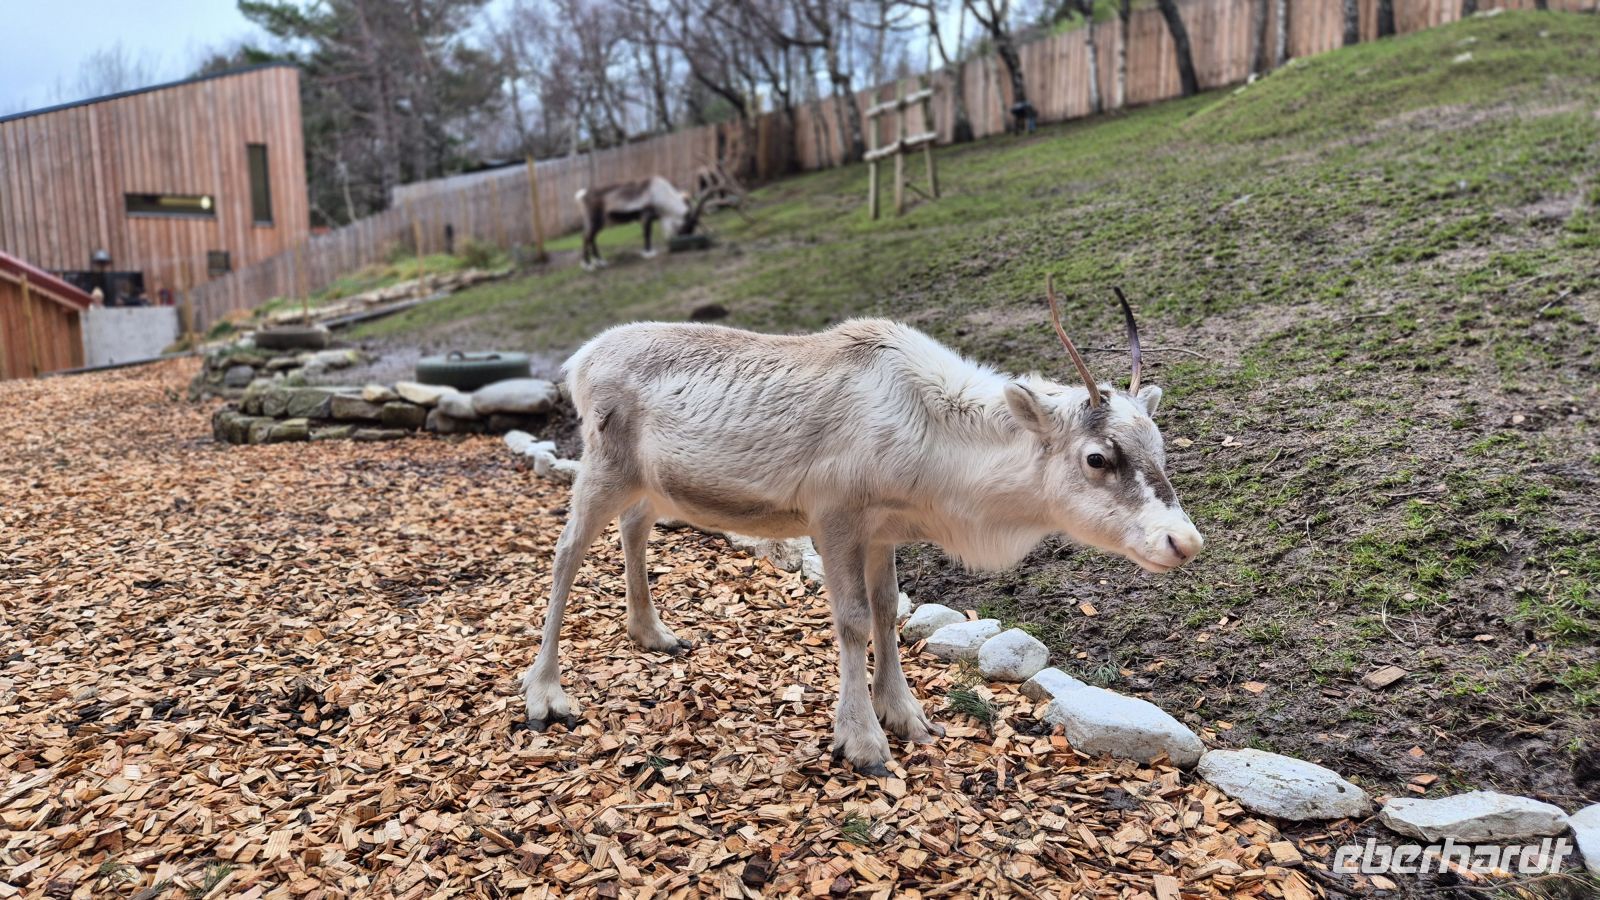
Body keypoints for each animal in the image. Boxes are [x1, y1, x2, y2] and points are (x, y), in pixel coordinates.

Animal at [521, 277, 1204, 775]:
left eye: (1158, 446)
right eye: (1098, 457)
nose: (1184, 541)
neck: (932, 443)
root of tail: (579, 360)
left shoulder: (883, 532)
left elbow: (886, 610)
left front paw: (905, 716)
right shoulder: (835, 518)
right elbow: (850, 620)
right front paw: (863, 742)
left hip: (650, 484)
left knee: (635, 526)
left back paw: (653, 633)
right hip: (602, 465)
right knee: (565, 552)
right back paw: (546, 696)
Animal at [574, 176, 710, 270]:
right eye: (688, 225)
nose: (684, 238)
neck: (660, 194)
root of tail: (582, 195)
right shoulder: (646, 215)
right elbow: (647, 233)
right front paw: (648, 253)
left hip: (599, 224)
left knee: (591, 238)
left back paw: (601, 262)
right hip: (594, 221)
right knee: (586, 237)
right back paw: (588, 266)